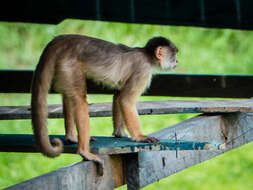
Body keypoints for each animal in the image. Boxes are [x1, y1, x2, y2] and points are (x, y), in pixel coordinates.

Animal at [30, 34, 179, 168]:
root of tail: (64, 39)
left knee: (69, 96)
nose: (177, 62)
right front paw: (139, 137)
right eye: (174, 55)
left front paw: (119, 133)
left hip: (63, 66)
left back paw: (71, 137)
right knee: (79, 99)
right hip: (69, 64)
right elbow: (125, 100)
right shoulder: (143, 70)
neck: (146, 55)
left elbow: (118, 96)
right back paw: (84, 151)